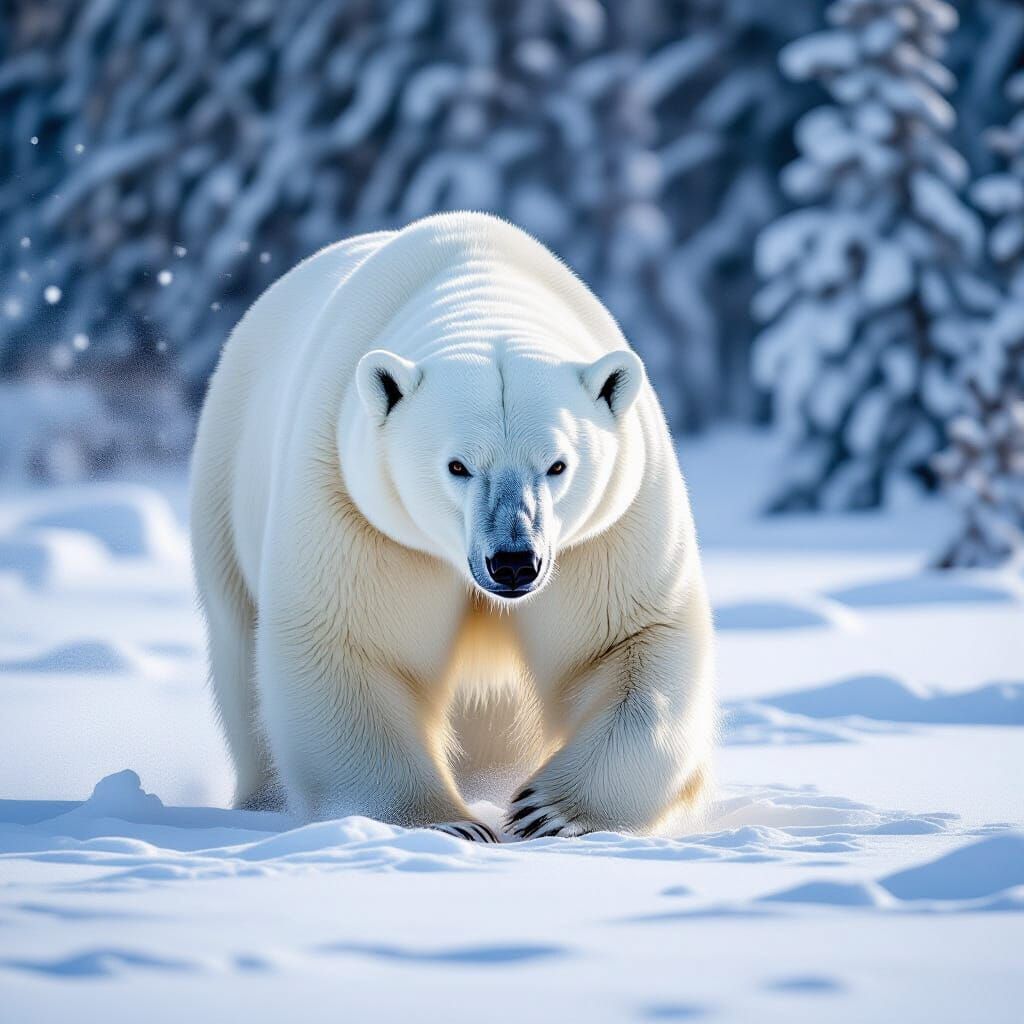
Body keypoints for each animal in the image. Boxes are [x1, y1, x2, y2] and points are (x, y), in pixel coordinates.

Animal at [190, 211, 716, 841]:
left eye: (557, 464)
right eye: (458, 465)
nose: (513, 562)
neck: (482, 286)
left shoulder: (610, 523)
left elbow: (627, 639)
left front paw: (547, 812)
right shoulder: (357, 508)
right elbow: (351, 641)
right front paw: (448, 825)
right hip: (224, 480)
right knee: (239, 653)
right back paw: (261, 799)